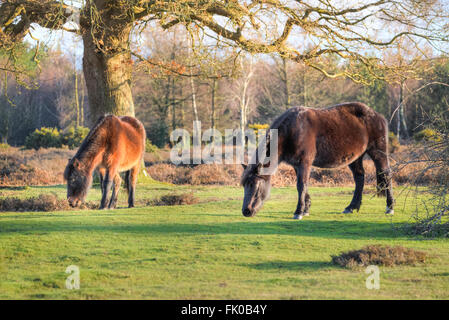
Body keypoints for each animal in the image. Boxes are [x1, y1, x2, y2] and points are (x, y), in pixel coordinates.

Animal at [242, 102, 392, 220]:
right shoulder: (297, 165)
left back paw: (390, 207)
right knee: (359, 178)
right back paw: (351, 207)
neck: (293, 130)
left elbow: (301, 185)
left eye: (255, 186)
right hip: (355, 158)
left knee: (386, 174)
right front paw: (306, 209)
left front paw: (298, 212)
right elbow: (304, 185)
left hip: (378, 152)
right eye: (244, 185)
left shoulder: (304, 163)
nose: (246, 211)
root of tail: (377, 116)